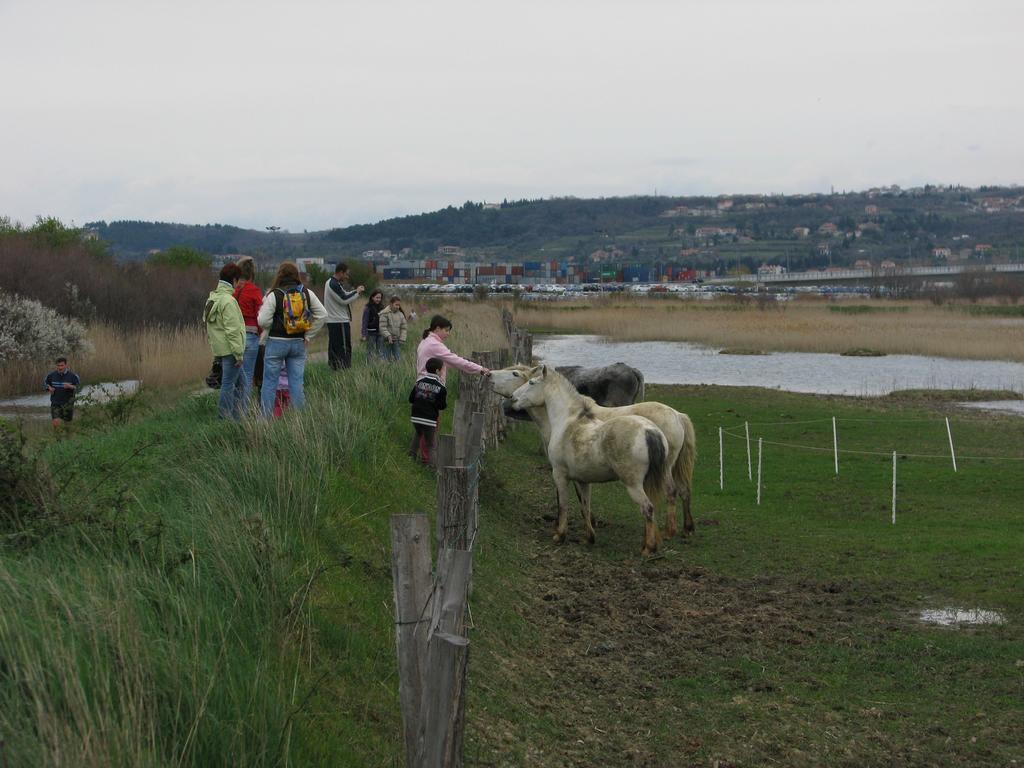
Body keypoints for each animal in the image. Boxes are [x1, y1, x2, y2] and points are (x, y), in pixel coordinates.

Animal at [489, 364, 696, 536]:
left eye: (515, 374)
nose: (488, 374)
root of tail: (677, 415)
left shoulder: (564, 469)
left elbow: (573, 496)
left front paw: (574, 525)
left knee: (670, 492)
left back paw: (669, 531)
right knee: (684, 491)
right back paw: (686, 528)